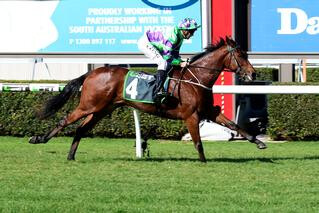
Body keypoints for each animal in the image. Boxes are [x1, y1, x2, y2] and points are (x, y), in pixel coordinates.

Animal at [30, 37, 268, 163]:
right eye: (241, 55)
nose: (253, 74)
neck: (196, 79)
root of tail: (91, 72)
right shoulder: (191, 116)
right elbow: (198, 142)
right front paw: (203, 162)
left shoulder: (208, 111)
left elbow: (234, 125)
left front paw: (259, 142)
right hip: (89, 105)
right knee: (65, 120)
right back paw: (39, 139)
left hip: (101, 109)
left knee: (81, 129)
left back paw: (71, 156)